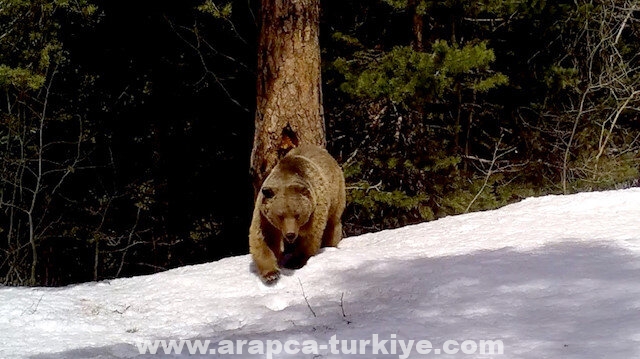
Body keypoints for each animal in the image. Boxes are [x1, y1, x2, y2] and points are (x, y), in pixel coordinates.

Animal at [249, 145, 344, 286]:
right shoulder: (264, 215)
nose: (290, 234)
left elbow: (310, 236)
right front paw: (271, 274)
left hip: (336, 194)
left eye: (297, 215)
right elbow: (264, 239)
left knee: (332, 224)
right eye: (280, 215)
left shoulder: (315, 210)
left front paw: (294, 261)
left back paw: (330, 244)